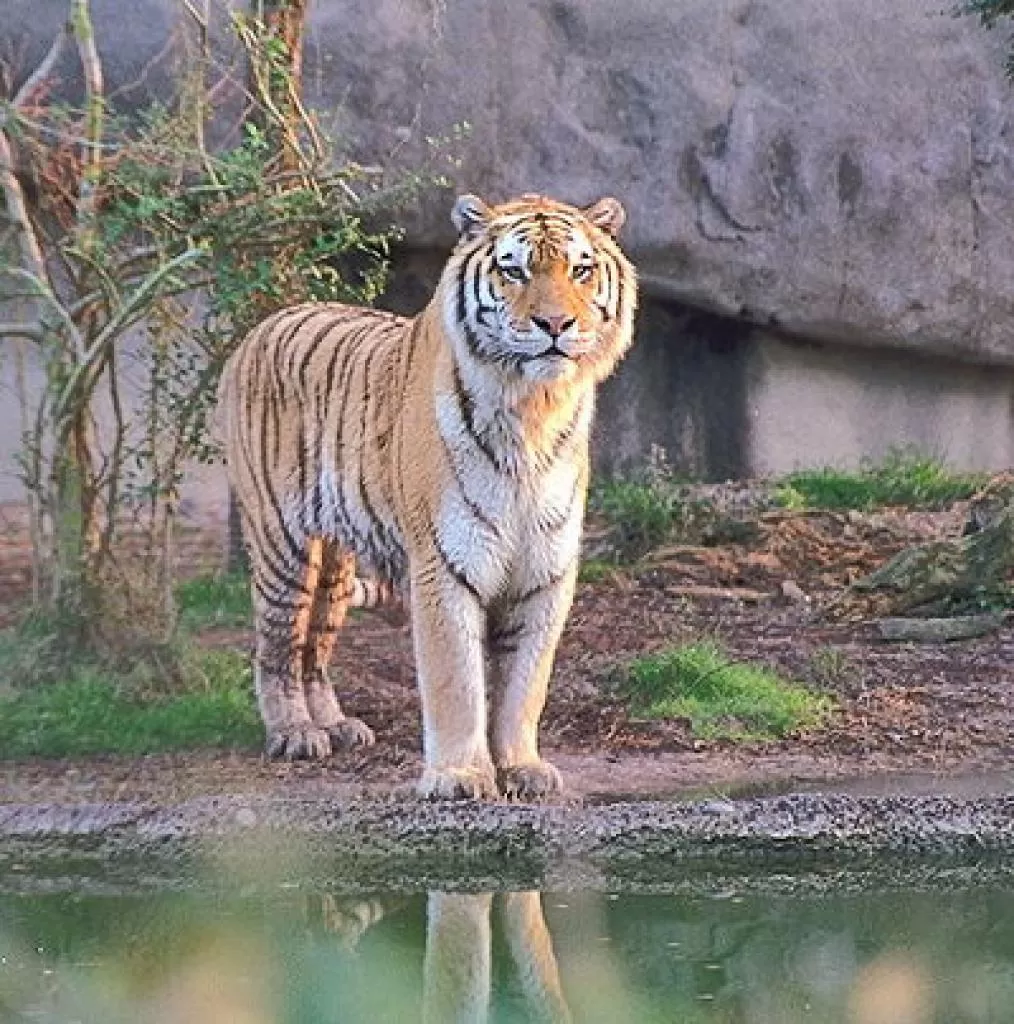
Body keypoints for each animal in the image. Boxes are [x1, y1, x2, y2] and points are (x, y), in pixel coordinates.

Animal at [216, 192, 637, 800]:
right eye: (514, 270)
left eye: (580, 270)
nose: (556, 324)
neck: (534, 408)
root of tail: (261, 327)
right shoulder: (446, 561)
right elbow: (455, 678)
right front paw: (460, 777)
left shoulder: (546, 570)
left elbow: (525, 684)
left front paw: (524, 768)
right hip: (282, 544)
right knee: (276, 646)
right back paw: (295, 733)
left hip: (334, 560)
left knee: (315, 645)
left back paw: (337, 726)